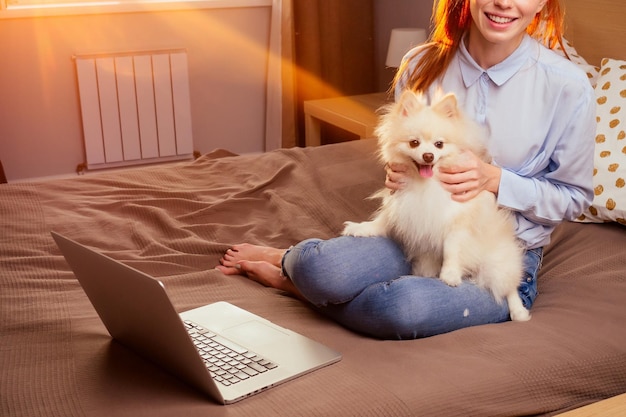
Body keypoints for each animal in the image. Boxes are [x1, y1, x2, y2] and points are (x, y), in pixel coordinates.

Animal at [342, 89, 528, 320]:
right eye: (414, 143)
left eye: (439, 144)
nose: (428, 155)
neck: (426, 184)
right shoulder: (401, 204)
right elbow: (382, 220)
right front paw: (362, 228)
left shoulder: (457, 220)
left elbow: (451, 249)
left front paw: (450, 274)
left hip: (497, 266)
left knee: (509, 288)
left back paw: (519, 311)